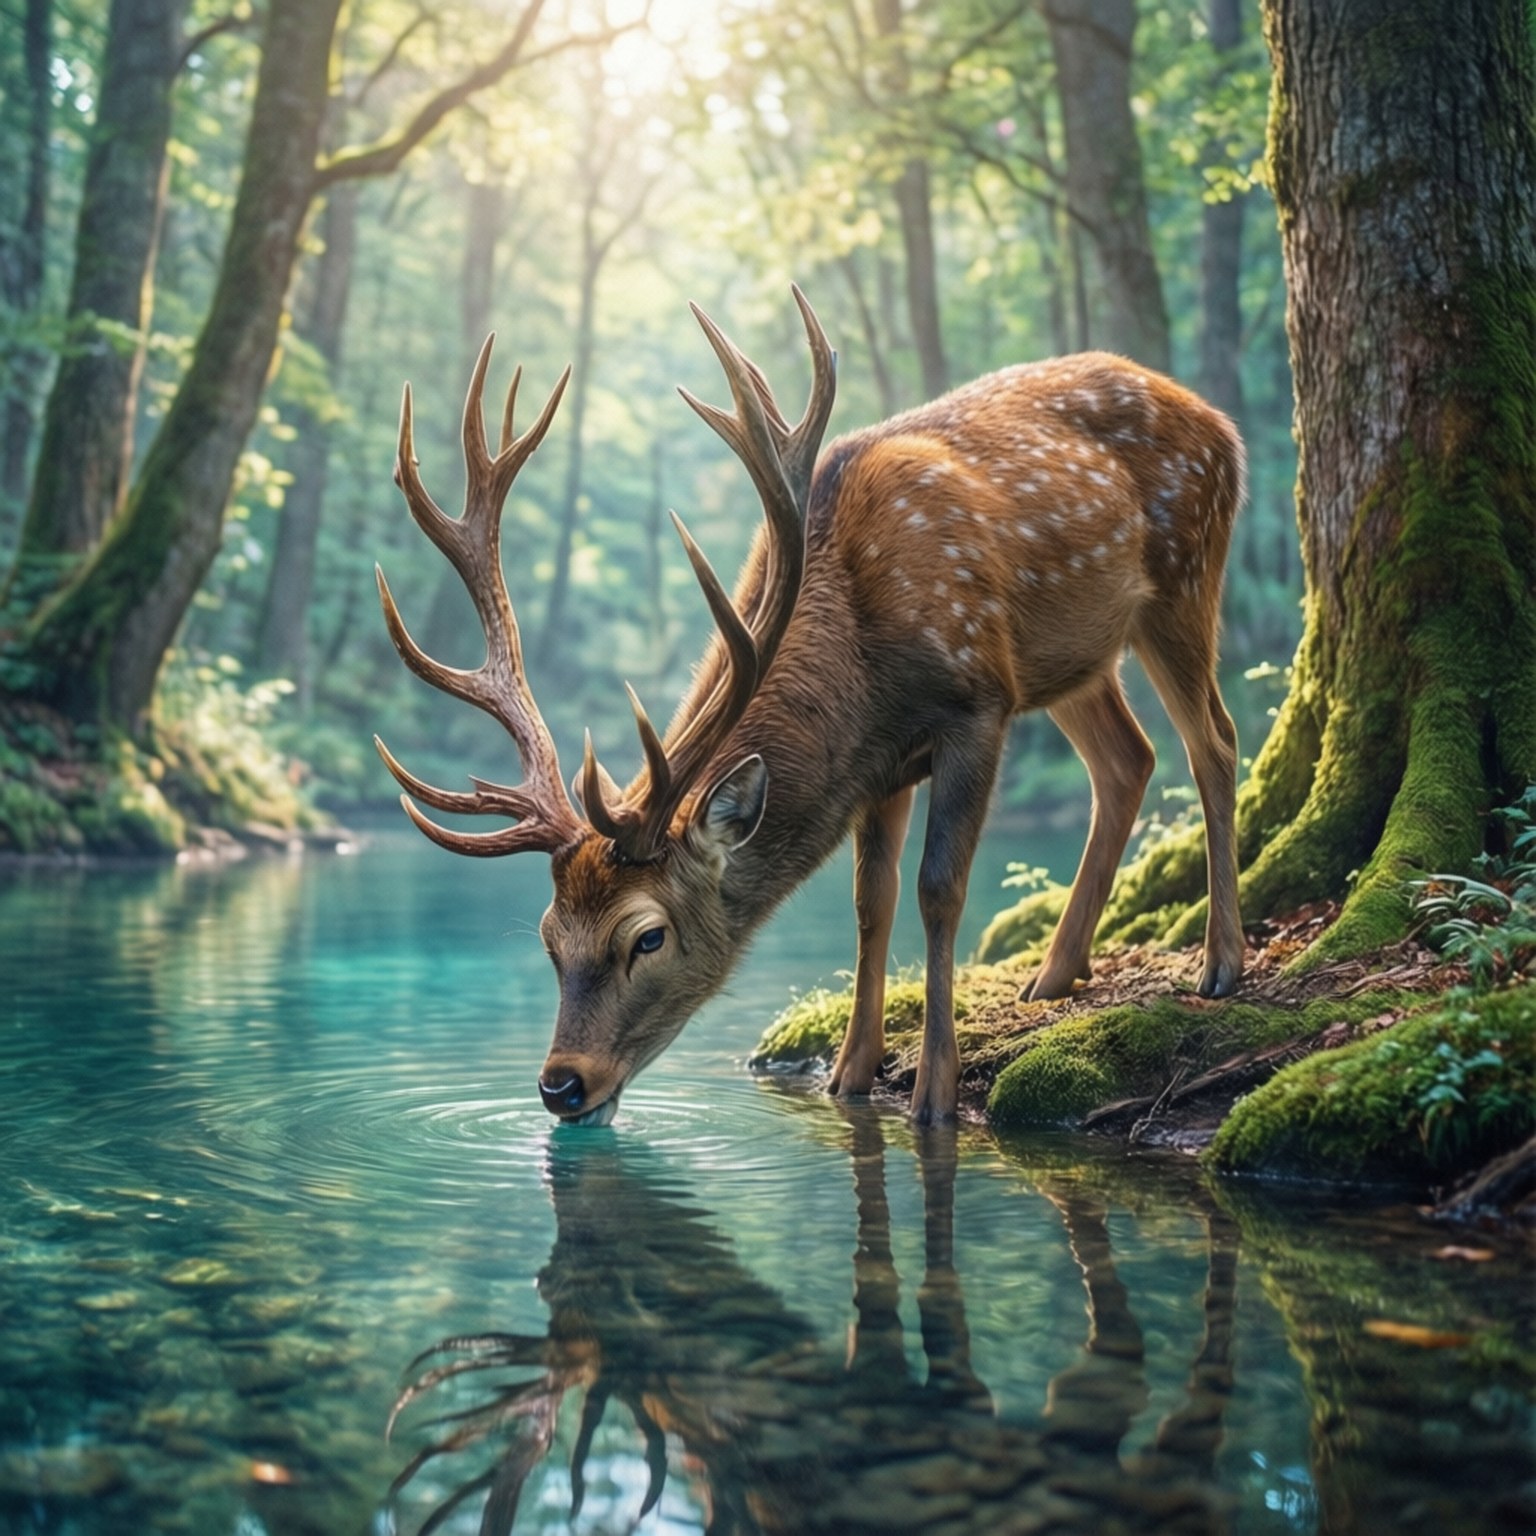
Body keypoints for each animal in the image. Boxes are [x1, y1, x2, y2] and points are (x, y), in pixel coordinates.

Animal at [374, 289, 1245, 1127]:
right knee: (1129, 759)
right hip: (1074, 658)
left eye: (646, 936)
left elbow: (938, 888)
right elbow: (871, 901)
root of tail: (1222, 424)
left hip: (1186, 571)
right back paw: (1055, 975)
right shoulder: (882, 765)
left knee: (1215, 741)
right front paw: (850, 1076)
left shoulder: (977, 700)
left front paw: (934, 1093)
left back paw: (1220, 964)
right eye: (551, 939)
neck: (862, 658)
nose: (561, 1085)